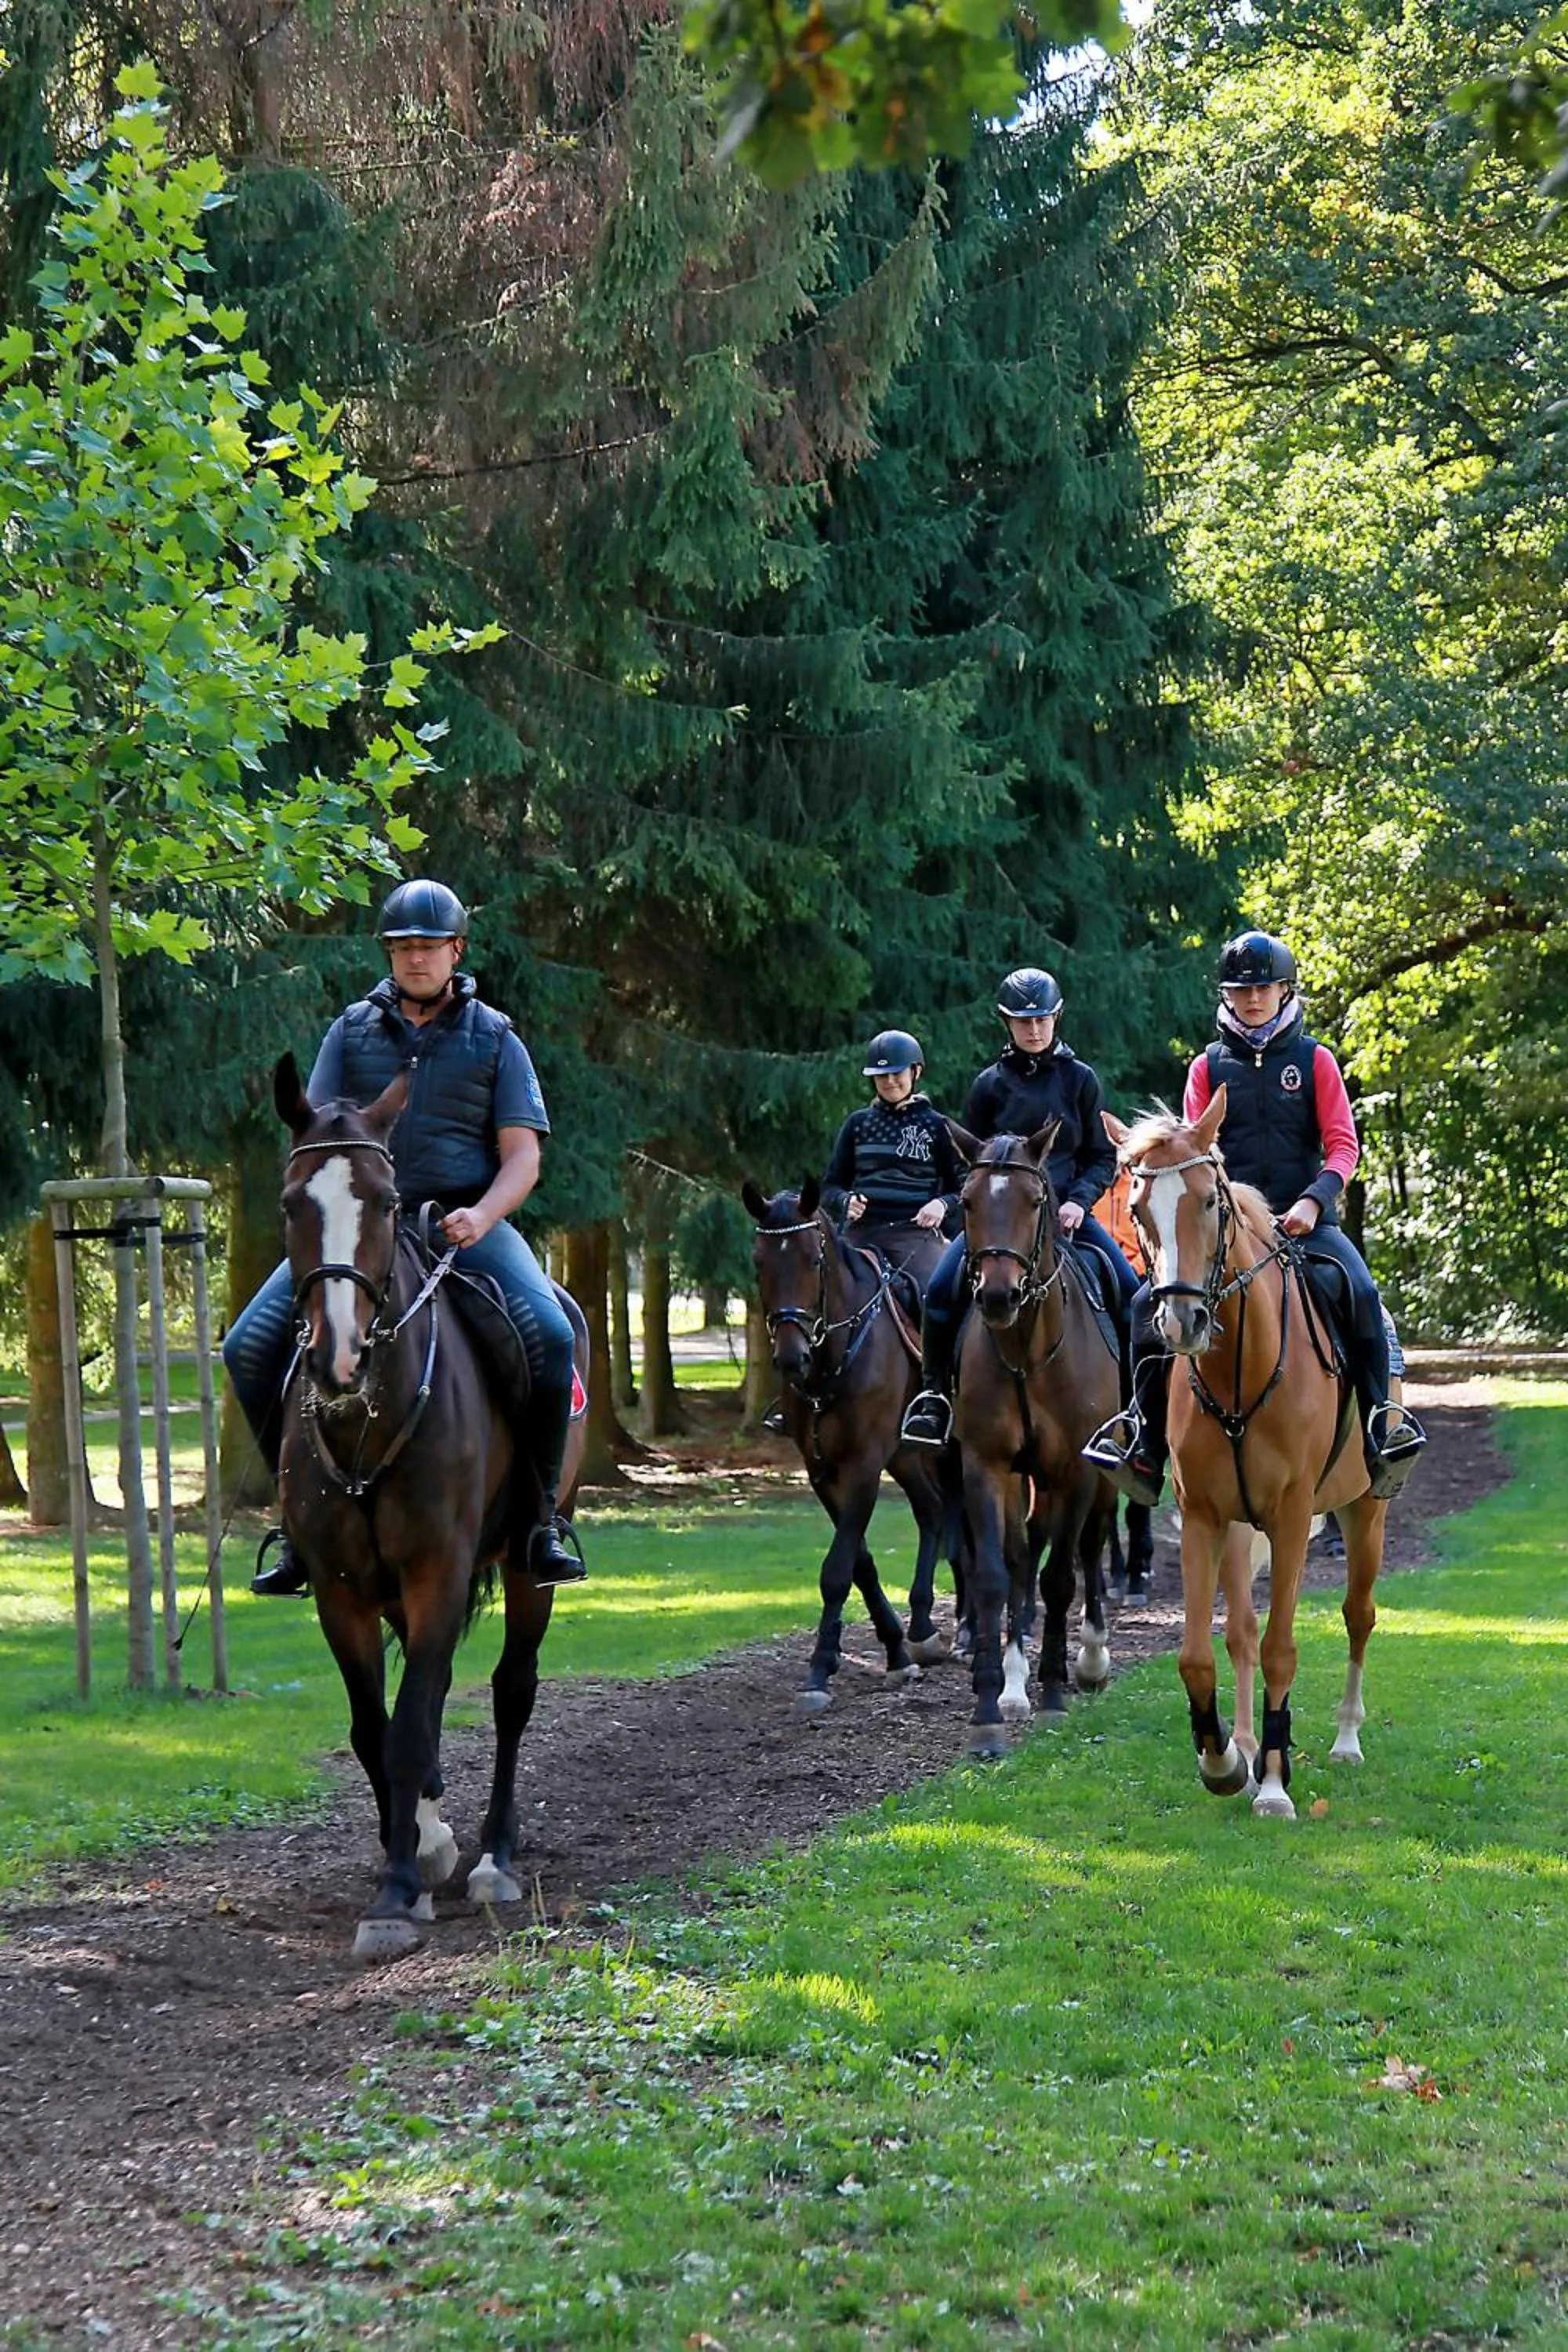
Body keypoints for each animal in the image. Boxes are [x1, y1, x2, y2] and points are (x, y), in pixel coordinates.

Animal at [273, 1053, 588, 1960]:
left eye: (383, 1200)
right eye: (292, 1202)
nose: (338, 1357)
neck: (367, 1418)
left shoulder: (438, 1571)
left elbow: (413, 1722)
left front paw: (395, 1891)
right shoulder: (342, 1591)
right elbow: (375, 1728)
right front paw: (408, 1856)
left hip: (526, 1565)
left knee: (512, 1690)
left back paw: (493, 1858)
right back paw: (440, 1836)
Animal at [742, 1177, 963, 1712]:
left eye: (812, 1260)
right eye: (759, 1262)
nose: (790, 1357)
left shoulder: (864, 1463)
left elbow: (838, 1568)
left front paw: (820, 1670)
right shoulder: (822, 1469)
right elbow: (858, 1561)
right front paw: (895, 1649)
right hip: (906, 1455)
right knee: (933, 1509)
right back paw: (922, 1628)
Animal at [947, 1122, 1121, 1758]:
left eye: (1035, 1200)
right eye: (968, 1201)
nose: (999, 1297)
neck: (1026, 1350)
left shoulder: (1077, 1471)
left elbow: (1061, 1576)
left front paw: (1053, 1693)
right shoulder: (985, 1466)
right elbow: (997, 1575)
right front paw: (989, 1707)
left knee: (1088, 1549)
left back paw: (1089, 1660)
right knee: (1025, 1553)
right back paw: (1015, 1680)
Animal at [1105, 1090, 1389, 1820]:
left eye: (1212, 1200)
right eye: (1139, 1209)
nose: (1181, 1322)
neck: (1240, 1371)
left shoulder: (1290, 1518)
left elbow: (1282, 1648)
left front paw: (1275, 1784)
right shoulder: (1205, 1517)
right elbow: (1201, 1655)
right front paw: (1224, 1760)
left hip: (1363, 1513)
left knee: (1358, 1616)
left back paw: (1347, 1741)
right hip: (1238, 1530)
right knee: (1237, 1632)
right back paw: (1244, 1742)